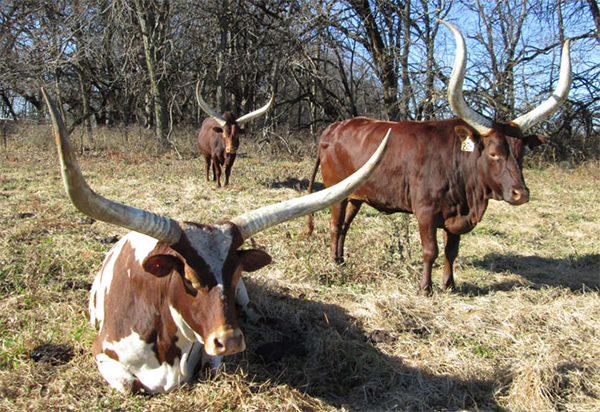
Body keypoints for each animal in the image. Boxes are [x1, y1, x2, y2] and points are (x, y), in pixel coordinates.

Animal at [42, 87, 390, 396]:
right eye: (188, 279)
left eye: (236, 272)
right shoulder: (102, 352)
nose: (232, 340)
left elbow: (215, 367)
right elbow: (129, 385)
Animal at [304, 20, 572, 296]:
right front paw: (425, 288)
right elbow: (430, 251)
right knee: (336, 225)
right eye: (494, 153)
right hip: (337, 192)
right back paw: (334, 262)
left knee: (345, 225)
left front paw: (449, 285)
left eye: (521, 155)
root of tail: (334, 127)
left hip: (356, 196)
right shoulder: (425, 212)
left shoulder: (456, 215)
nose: (521, 194)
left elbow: (451, 251)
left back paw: (342, 259)